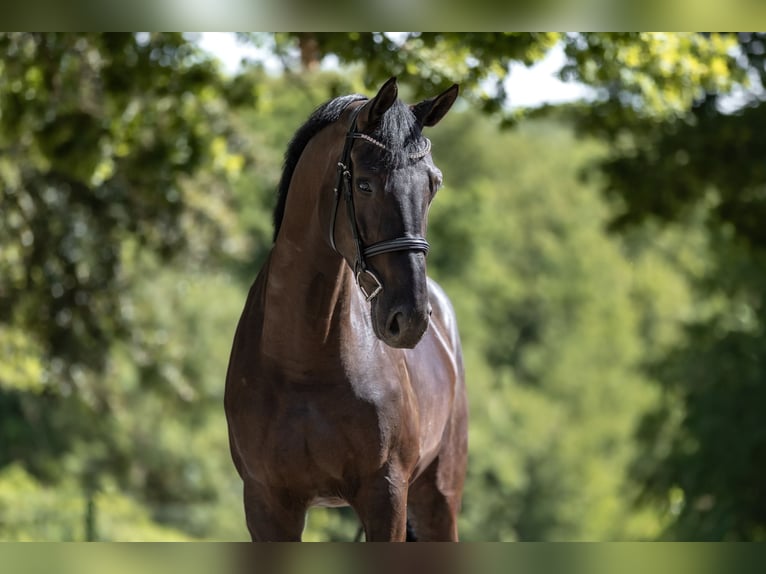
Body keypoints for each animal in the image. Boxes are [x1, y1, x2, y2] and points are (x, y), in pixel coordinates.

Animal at [224, 77, 468, 541]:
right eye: (365, 184)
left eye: (433, 184)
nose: (409, 318)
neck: (303, 364)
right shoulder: (266, 504)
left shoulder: (386, 495)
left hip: (439, 498)